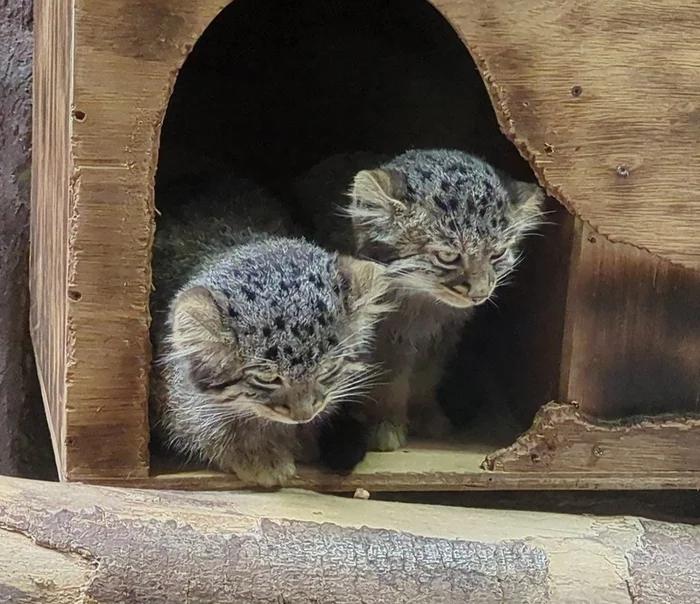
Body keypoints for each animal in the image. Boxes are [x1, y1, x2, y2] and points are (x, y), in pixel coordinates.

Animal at [296, 149, 548, 450]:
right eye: (448, 256)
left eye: (497, 254)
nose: (479, 293)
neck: (421, 306)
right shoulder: (380, 342)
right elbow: (387, 383)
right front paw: (386, 424)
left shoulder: (442, 337)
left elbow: (426, 377)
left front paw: (426, 414)